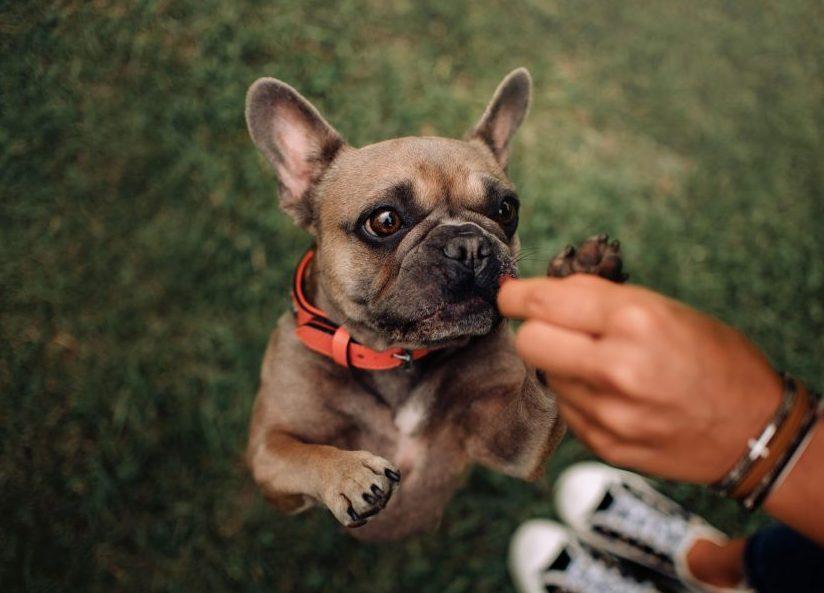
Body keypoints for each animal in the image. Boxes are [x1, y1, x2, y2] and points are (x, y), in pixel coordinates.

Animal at [245, 69, 624, 540]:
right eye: (384, 220)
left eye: (506, 209)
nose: (469, 245)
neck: (397, 357)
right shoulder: (266, 455)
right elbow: (298, 452)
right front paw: (348, 473)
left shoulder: (508, 441)